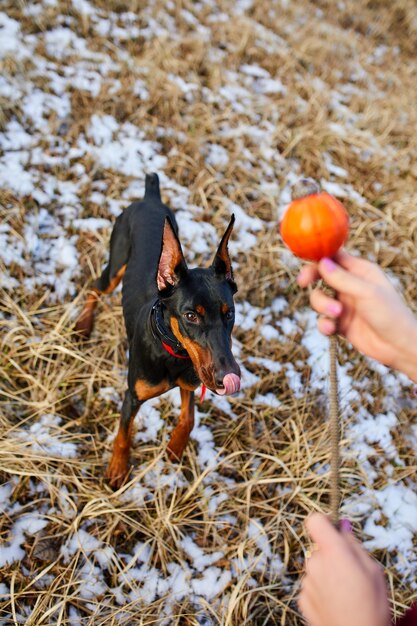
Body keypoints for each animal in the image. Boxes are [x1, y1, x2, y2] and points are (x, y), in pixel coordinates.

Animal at [75, 173, 240, 486]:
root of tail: (149, 196)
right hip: (115, 263)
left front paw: (175, 448)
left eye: (230, 314)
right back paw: (83, 325)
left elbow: (189, 418)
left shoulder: (190, 380)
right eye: (191, 315)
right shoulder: (133, 395)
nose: (228, 377)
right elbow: (123, 434)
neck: (172, 351)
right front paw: (117, 470)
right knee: (95, 287)